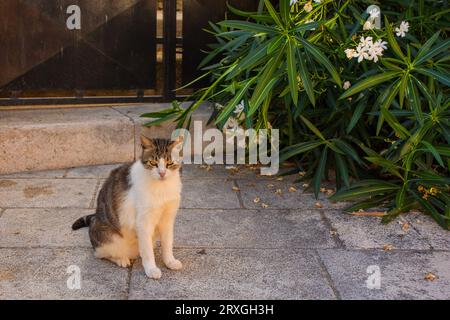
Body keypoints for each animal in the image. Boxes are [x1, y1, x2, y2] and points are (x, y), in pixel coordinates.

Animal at [71, 134, 183, 278]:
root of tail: (95, 217)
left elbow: (168, 244)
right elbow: (147, 251)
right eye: (153, 163)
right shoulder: (143, 222)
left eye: (169, 163)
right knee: (101, 253)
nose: (162, 173)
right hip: (109, 239)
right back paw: (121, 259)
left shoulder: (167, 219)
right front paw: (151, 268)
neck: (162, 187)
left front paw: (170, 261)